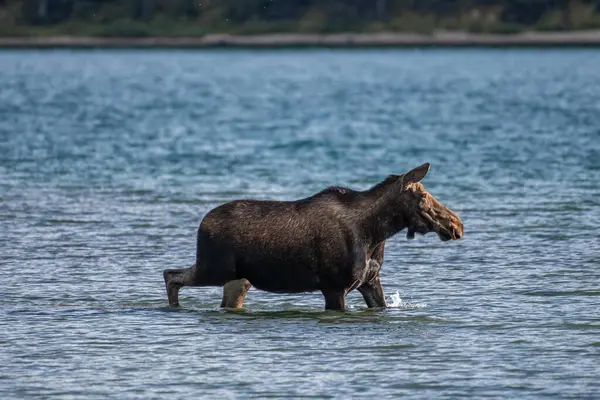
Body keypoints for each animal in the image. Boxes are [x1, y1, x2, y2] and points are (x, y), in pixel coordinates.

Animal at [162, 164, 462, 310]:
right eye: (423, 196)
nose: (456, 224)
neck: (377, 233)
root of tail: (202, 224)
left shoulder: (369, 282)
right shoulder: (334, 287)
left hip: (237, 280)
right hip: (213, 268)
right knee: (170, 274)